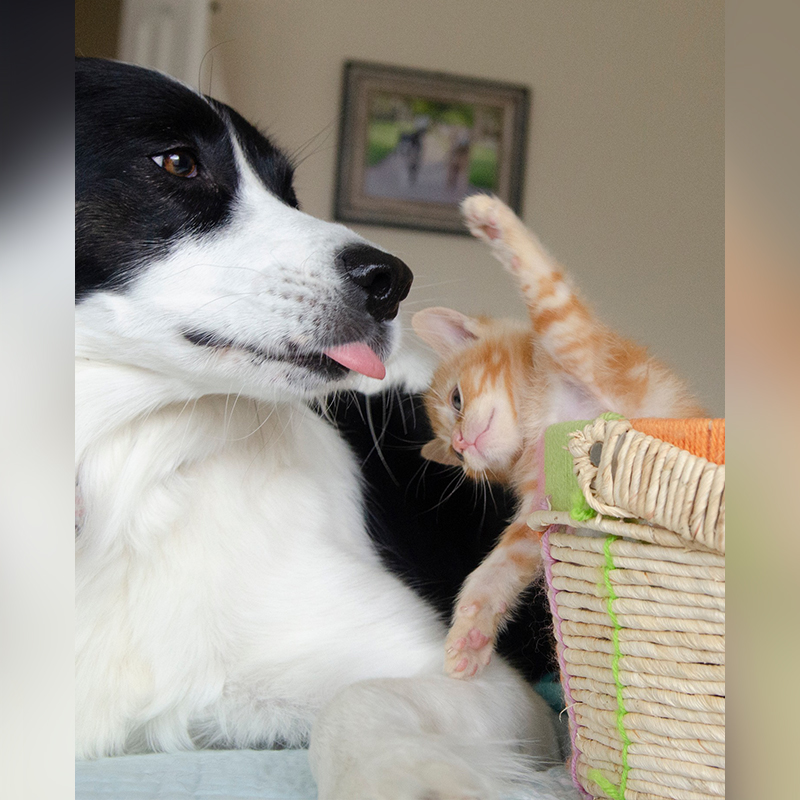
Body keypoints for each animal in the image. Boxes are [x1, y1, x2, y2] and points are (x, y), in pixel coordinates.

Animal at [78, 59, 560, 796]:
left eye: (288, 190)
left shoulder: (481, 680)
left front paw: (410, 777)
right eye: (176, 162)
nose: (390, 280)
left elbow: (353, 702)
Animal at [410, 192, 704, 676]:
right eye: (459, 462)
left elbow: (548, 296)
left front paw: (493, 221)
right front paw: (470, 633)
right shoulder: (543, 512)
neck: (540, 421)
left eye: (455, 400)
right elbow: (497, 567)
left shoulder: (583, 348)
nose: (461, 444)